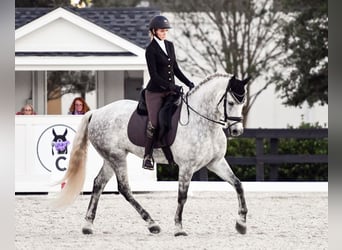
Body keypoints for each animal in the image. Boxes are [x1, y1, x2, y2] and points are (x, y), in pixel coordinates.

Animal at [54, 73, 250, 236]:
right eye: (231, 103)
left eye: (243, 103)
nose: (237, 131)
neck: (202, 122)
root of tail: (96, 112)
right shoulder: (187, 166)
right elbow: (182, 196)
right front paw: (179, 228)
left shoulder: (216, 162)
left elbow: (238, 184)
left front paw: (241, 223)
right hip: (117, 157)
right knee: (124, 189)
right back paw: (152, 223)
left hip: (110, 158)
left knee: (98, 184)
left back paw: (88, 225)